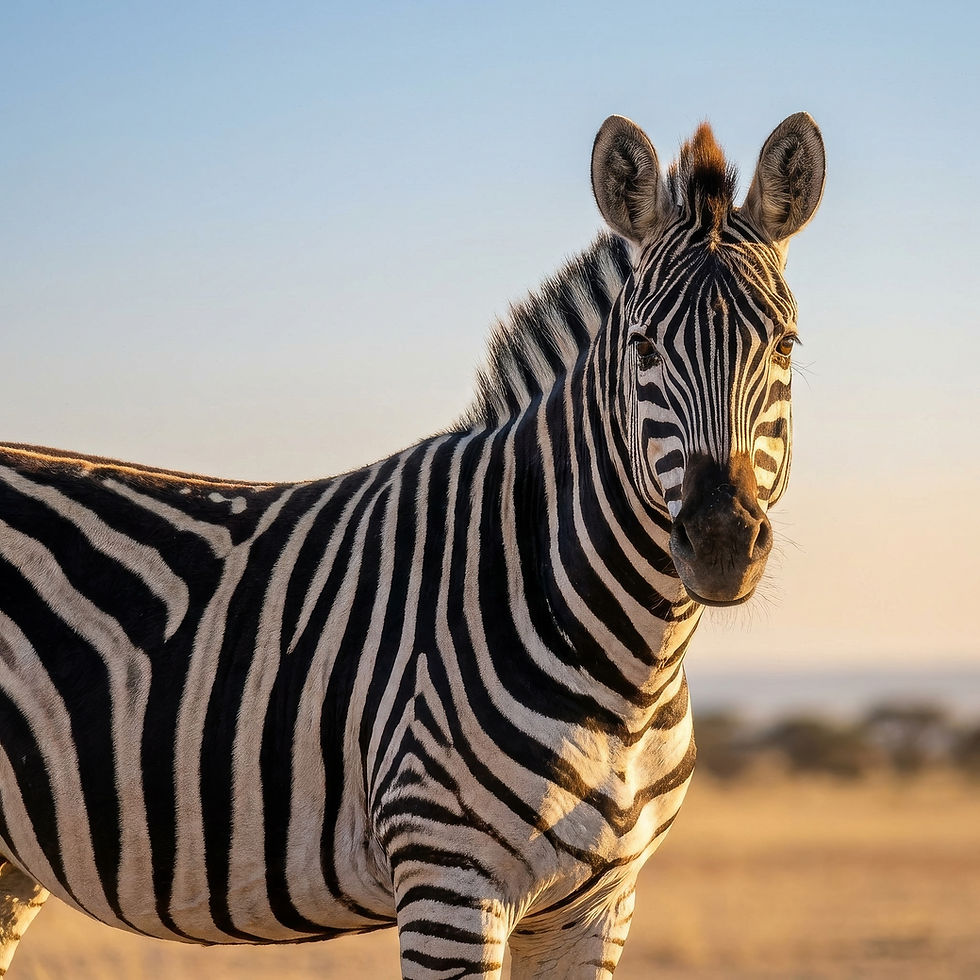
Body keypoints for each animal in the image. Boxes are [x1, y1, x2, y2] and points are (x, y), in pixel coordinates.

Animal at [0, 112, 824, 977]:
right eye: (643, 349)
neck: (626, 672)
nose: (721, 541)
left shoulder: (599, 906)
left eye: (786, 347)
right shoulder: (448, 882)